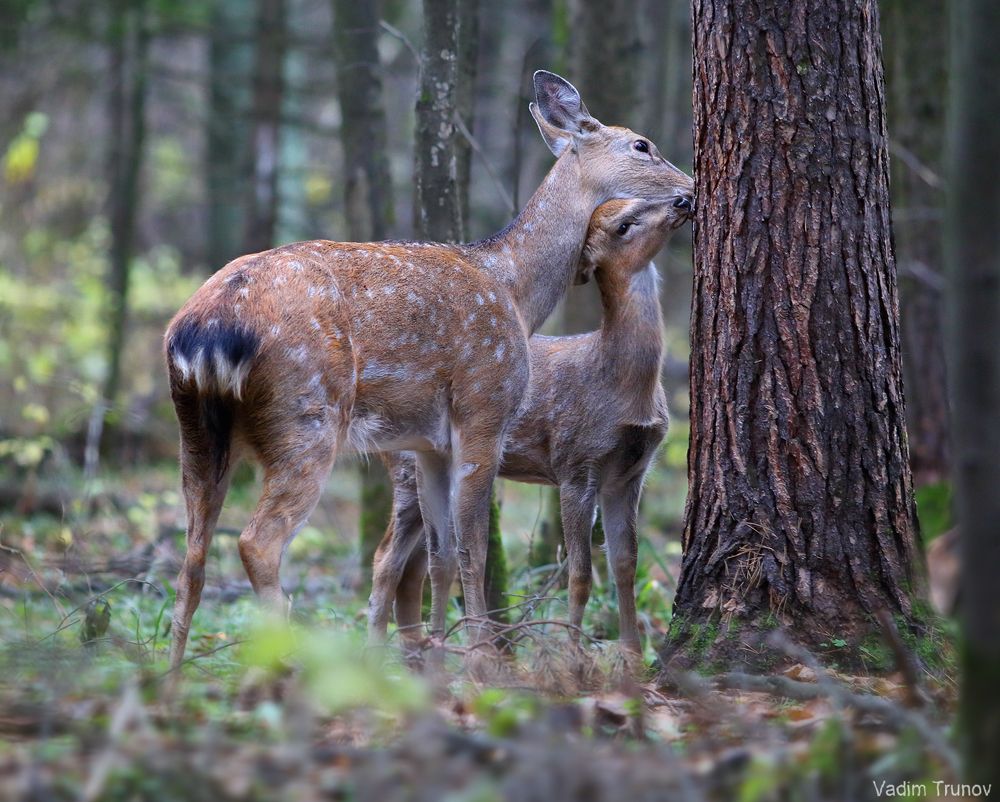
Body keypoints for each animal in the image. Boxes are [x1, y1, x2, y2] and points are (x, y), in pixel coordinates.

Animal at [369, 197, 690, 655]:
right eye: (623, 225)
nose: (682, 200)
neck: (625, 386)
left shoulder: (631, 472)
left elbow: (625, 564)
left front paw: (631, 656)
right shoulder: (576, 463)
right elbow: (580, 573)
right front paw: (574, 653)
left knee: (410, 564)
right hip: (404, 467)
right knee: (387, 559)